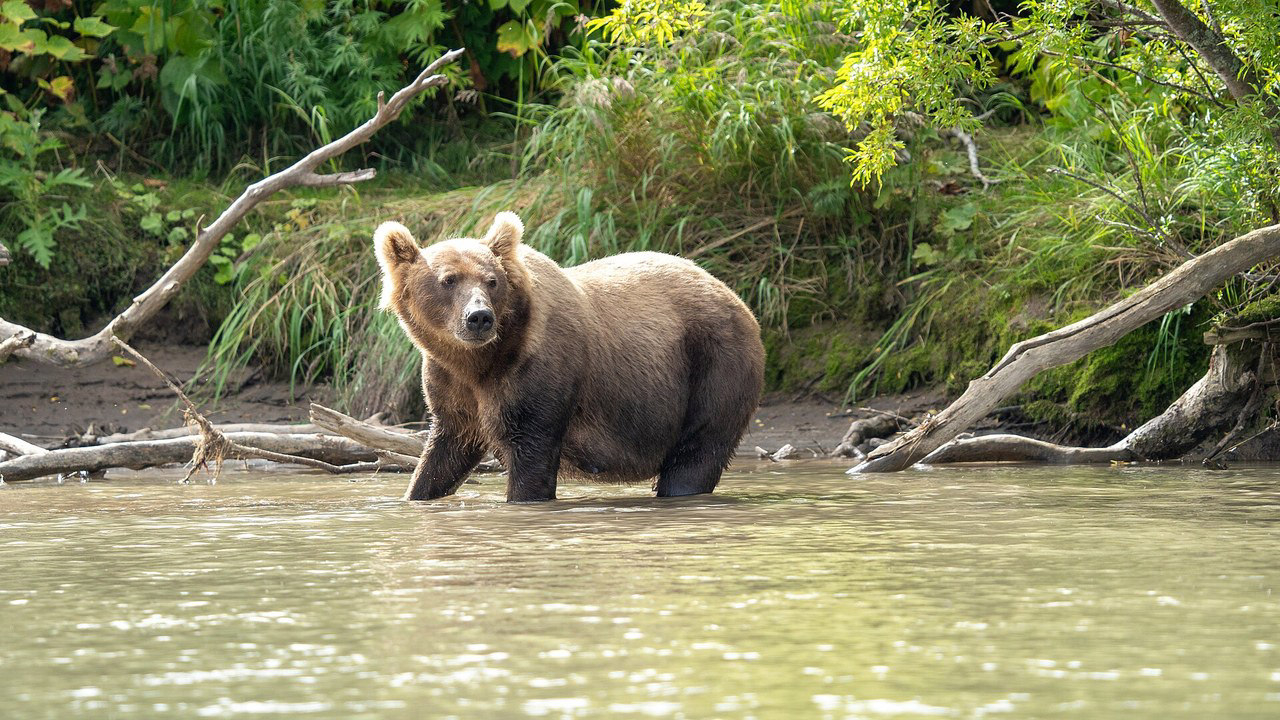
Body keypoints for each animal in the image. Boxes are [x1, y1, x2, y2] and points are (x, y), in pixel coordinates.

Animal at [374, 211, 765, 502]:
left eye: (491, 281)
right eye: (448, 280)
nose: (479, 317)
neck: (481, 361)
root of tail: (739, 301)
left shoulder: (539, 371)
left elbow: (532, 452)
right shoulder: (452, 386)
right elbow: (444, 454)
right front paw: (415, 494)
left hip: (714, 364)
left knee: (696, 452)